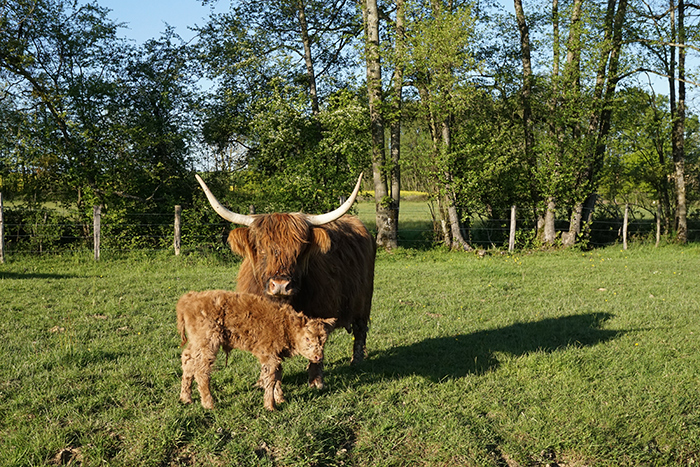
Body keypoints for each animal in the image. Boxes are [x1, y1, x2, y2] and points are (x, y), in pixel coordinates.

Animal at [178, 290, 336, 412]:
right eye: (307, 338)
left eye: (324, 340)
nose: (318, 357)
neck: (284, 326)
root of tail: (188, 299)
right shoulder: (269, 356)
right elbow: (270, 380)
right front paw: (270, 406)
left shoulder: (276, 357)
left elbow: (277, 377)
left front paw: (281, 399)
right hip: (208, 342)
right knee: (201, 370)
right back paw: (209, 404)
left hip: (197, 343)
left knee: (187, 360)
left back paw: (186, 398)